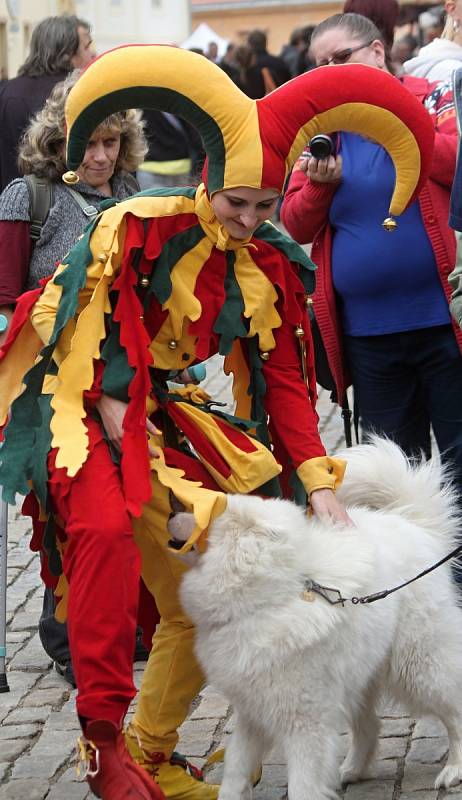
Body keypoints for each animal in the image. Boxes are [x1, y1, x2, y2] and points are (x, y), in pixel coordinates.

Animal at [171, 440, 462, 796]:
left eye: (210, 510)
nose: (169, 512)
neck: (270, 597)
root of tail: (414, 523)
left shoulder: (305, 723)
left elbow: (302, 786)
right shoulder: (252, 715)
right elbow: (235, 775)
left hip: (418, 667)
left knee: (454, 712)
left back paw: (453, 770)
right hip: (359, 676)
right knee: (370, 725)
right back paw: (351, 771)